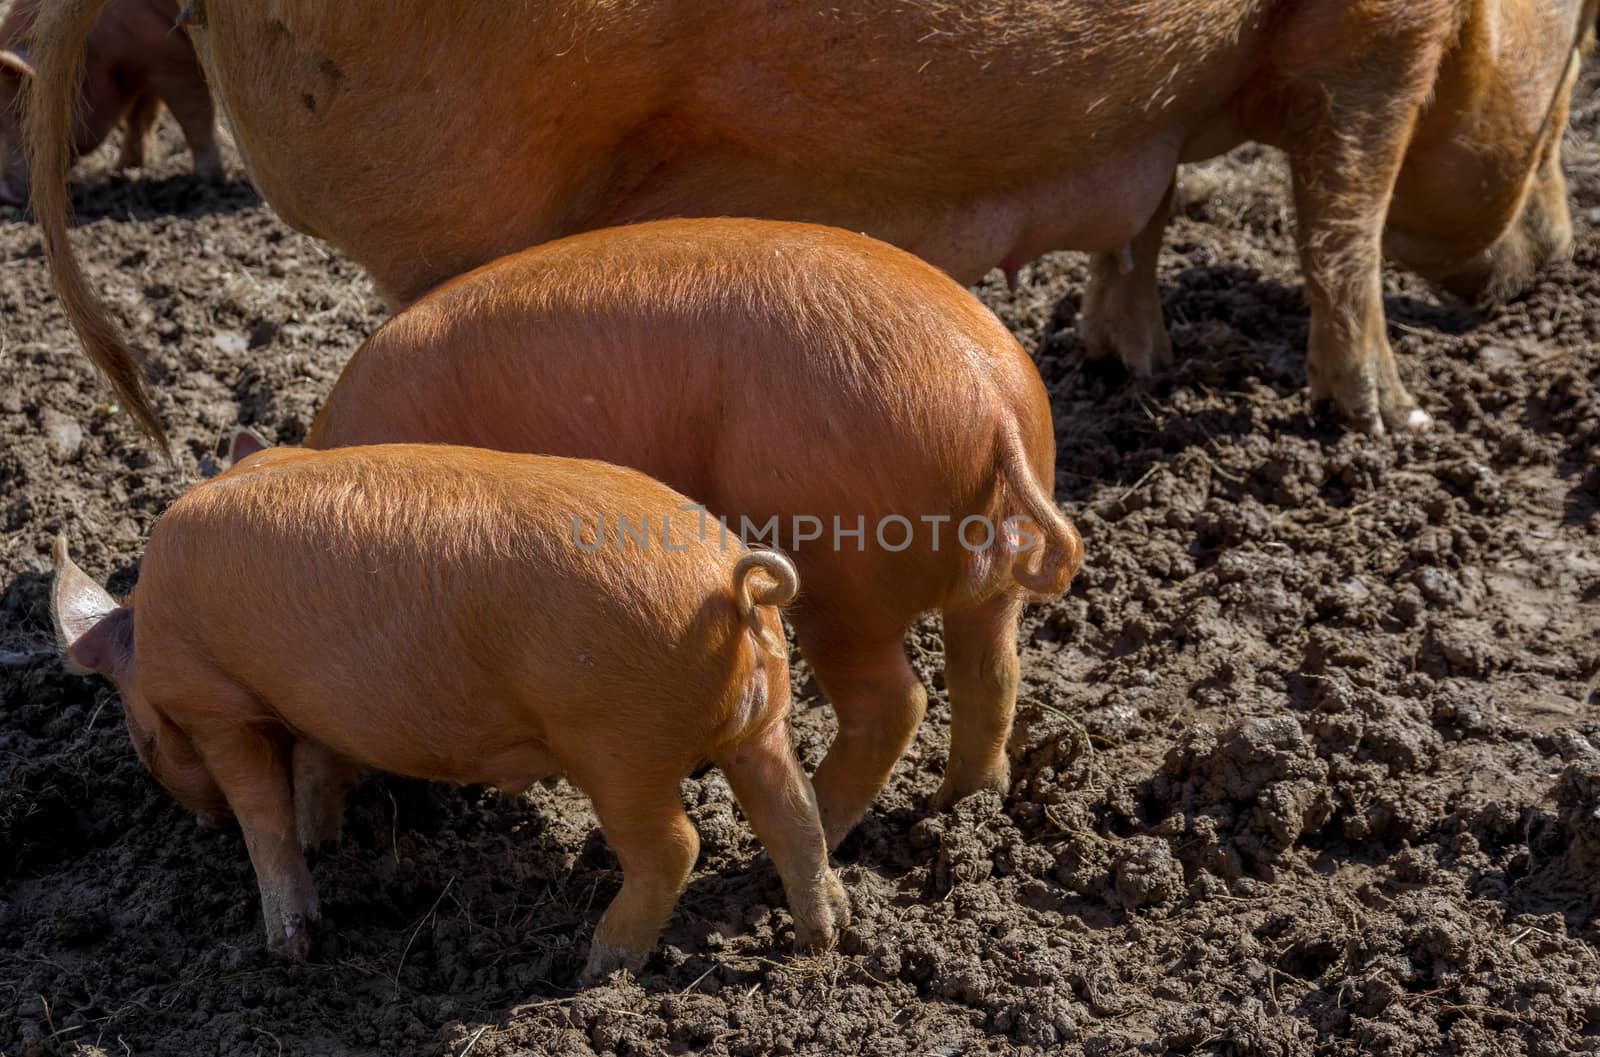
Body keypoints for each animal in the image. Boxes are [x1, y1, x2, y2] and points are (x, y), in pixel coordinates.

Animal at [0, 0, 220, 206]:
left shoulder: (173, 58)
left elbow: (194, 115)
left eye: (20, 114)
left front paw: (207, 177)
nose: (5, 195)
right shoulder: (146, 68)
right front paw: (123, 171)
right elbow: (141, 116)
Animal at [25, 0, 1600, 444]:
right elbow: (1344, 216)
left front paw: (1127, 367)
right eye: (1582, 52)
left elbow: (1140, 218)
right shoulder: (1375, 43)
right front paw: (1394, 426)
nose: (1555, 267)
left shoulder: (1149, 111)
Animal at [50, 444, 851, 978]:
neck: (149, 632)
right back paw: (824, 937)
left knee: (675, 845)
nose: (197, 825)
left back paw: (597, 967)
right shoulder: (318, 709)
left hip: (619, 743)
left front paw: (289, 947)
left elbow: (263, 816)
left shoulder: (218, 706)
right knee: (795, 812)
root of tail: (732, 584)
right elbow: (318, 767)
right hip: (761, 723)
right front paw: (323, 840)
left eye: (141, 734)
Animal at [259, 215, 1088, 850]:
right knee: (991, 669)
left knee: (897, 700)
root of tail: (994, 404)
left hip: (839, 566)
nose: (324, 840)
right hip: (988, 574)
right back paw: (959, 806)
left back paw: (813, 826)